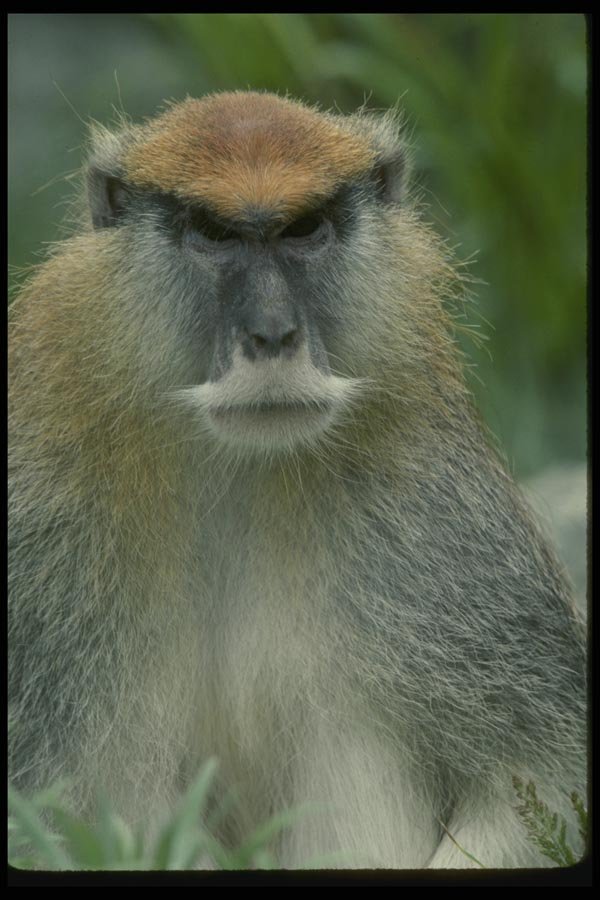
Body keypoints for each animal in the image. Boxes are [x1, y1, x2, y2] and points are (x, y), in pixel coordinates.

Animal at [8, 91, 586, 869]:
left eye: (304, 229)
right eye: (214, 234)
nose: (273, 335)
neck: (235, 464)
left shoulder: (433, 507)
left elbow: (543, 775)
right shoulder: (43, 527)